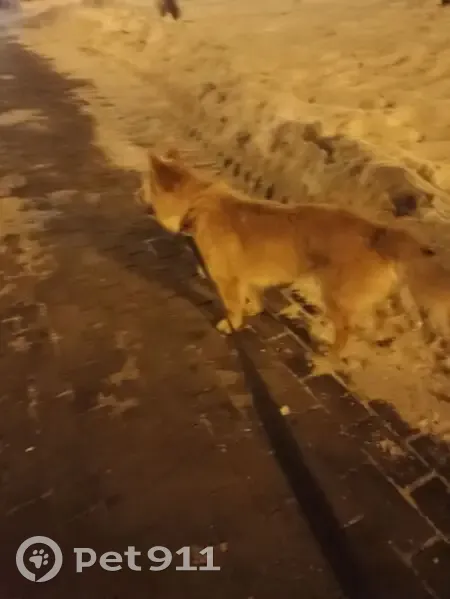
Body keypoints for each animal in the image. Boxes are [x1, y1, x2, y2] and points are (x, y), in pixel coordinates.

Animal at [138, 148, 450, 356]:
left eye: (145, 187)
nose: (136, 196)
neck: (198, 204)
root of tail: (378, 232)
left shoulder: (228, 281)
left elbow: (232, 306)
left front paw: (232, 324)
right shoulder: (246, 276)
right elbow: (253, 295)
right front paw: (253, 309)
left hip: (335, 296)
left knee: (345, 331)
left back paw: (329, 355)